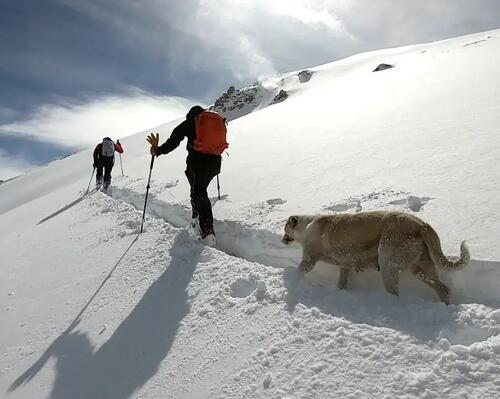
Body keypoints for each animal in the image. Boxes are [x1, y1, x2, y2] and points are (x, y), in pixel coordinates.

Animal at [284, 212, 470, 304]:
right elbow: (342, 282)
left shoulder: (309, 260)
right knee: (443, 289)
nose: (282, 240)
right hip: (421, 268)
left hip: (388, 264)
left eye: (285, 229)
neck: (306, 227)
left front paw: (290, 279)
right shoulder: (345, 267)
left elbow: (299, 270)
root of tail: (421, 224)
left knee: (395, 292)